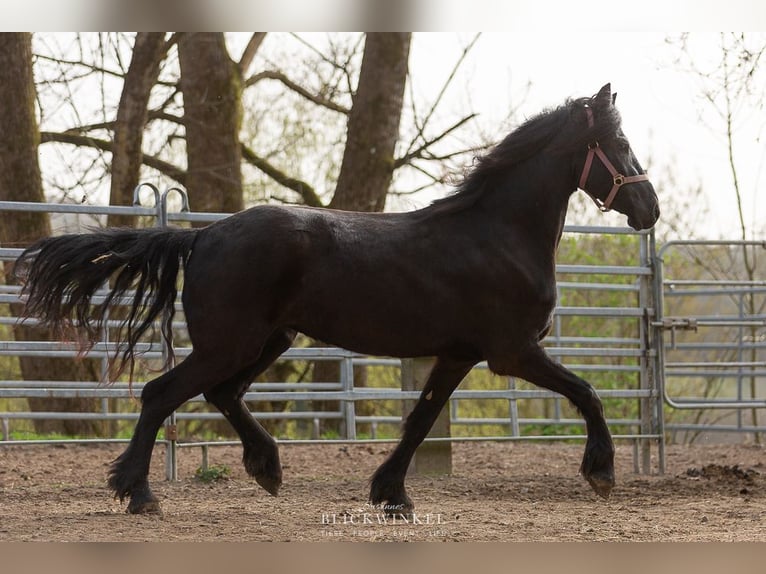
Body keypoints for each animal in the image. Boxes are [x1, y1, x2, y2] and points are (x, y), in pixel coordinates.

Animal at [15, 83, 659, 515]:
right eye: (621, 141)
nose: (649, 208)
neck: (497, 234)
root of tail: (201, 236)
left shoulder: (458, 354)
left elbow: (421, 420)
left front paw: (390, 494)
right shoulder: (512, 352)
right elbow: (588, 392)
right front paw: (601, 472)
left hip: (269, 339)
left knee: (222, 394)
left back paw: (267, 469)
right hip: (231, 343)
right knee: (162, 394)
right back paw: (140, 493)